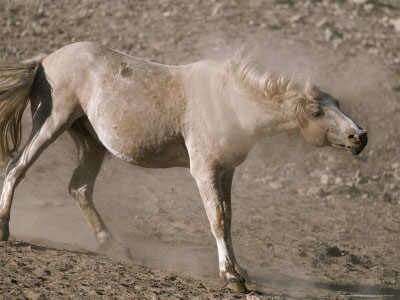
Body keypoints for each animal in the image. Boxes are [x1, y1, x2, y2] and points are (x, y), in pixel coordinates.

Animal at [0, 42, 366, 292]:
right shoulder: (205, 171)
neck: (229, 103)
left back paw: (113, 245)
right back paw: (5, 230)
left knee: (79, 188)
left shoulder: (226, 172)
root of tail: (45, 61)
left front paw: (238, 270)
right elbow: (217, 219)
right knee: (17, 168)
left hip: (91, 142)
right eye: (316, 112)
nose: (359, 136)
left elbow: (228, 219)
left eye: (337, 104)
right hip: (51, 123)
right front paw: (231, 277)